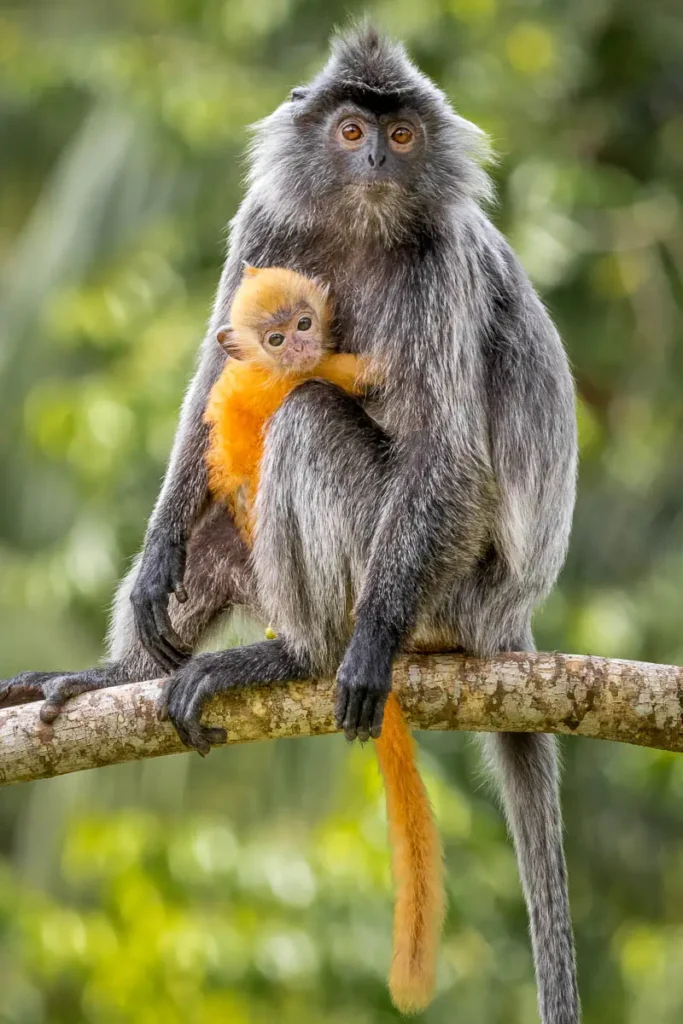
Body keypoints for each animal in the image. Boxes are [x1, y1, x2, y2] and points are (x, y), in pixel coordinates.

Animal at [204, 262, 445, 1012]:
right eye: (276, 337)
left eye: (305, 322)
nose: (303, 345)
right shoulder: (273, 374)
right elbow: (334, 383)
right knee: (305, 412)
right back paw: (293, 652)